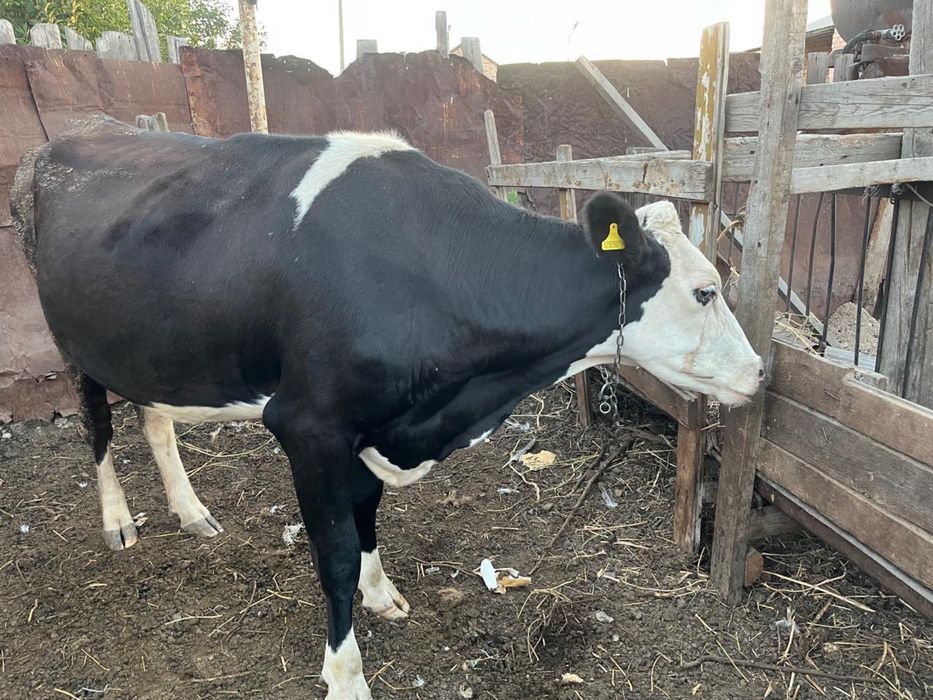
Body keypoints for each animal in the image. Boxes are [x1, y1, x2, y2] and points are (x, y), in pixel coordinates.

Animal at [11, 117, 762, 699]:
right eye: (705, 290)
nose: (759, 373)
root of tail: (71, 135)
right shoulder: (309, 425)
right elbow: (336, 551)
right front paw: (345, 674)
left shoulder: (374, 424)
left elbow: (368, 514)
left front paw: (380, 593)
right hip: (73, 339)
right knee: (97, 424)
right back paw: (118, 522)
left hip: (157, 351)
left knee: (154, 416)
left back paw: (191, 510)